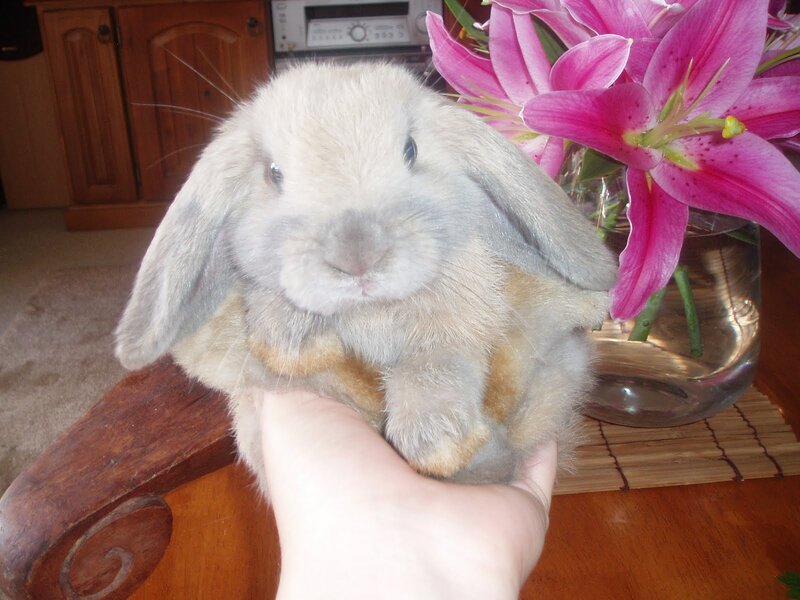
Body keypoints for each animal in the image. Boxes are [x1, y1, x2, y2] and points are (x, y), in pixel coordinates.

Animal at [115, 61, 617, 496]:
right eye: (273, 173)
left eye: (410, 150)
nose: (356, 257)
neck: (372, 311)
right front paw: (299, 341)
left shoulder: (459, 329)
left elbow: (437, 366)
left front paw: (437, 445)